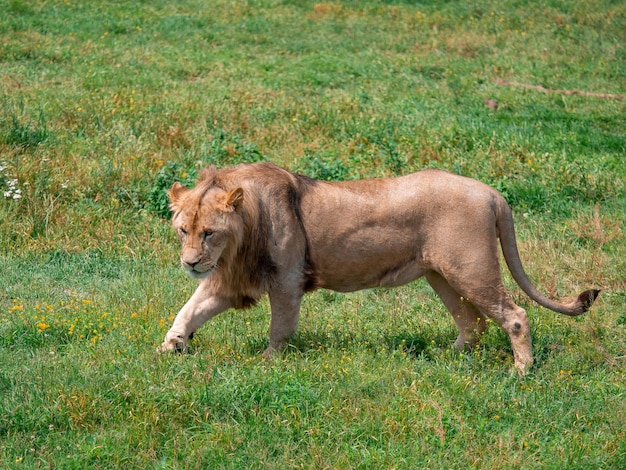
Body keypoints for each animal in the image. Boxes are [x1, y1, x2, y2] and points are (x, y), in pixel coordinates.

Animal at [157, 162, 600, 374]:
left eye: (210, 232)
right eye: (183, 230)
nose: (190, 262)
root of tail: (492, 192)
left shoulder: (286, 279)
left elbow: (279, 328)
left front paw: (269, 362)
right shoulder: (228, 281)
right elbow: (189, 309)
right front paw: (169, 347)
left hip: (471, 269)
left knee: (515, 314)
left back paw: (521, 371)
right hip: (441, 275)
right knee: (473, 322)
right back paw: (444, 357)